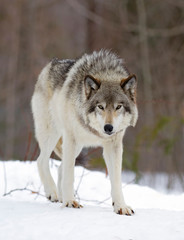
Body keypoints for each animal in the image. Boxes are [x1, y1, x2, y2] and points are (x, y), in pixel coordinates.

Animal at [31, 49, 138, 215]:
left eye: (118, 107)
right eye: (100, 106)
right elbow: (69, 175)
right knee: (41, 161)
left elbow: (116, 180)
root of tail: (49, 65)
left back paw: (60, 196)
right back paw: (53, 193)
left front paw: (121, 206)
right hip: (53, 135)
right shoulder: (71, 139)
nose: (108, 128)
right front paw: (70, 202)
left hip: (76, 146)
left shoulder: (113, 146)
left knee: (60, 167)